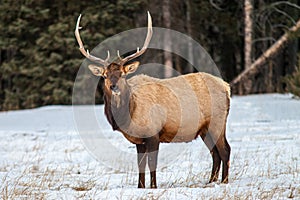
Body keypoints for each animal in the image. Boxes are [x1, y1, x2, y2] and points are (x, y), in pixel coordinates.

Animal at [74, 11, 230, 188]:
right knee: (215, 153)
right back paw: (210, 181)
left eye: (122, 74)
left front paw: (153, 186)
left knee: (225, 150)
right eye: (105, 75)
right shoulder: (139, 140)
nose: (114, 86)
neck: (130, 113)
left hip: (217, 122)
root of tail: (226, 87)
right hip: (204, 129)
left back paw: (224, 181)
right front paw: (140, 186)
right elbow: (140, 164)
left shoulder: (153, 133)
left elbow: (152, 163)